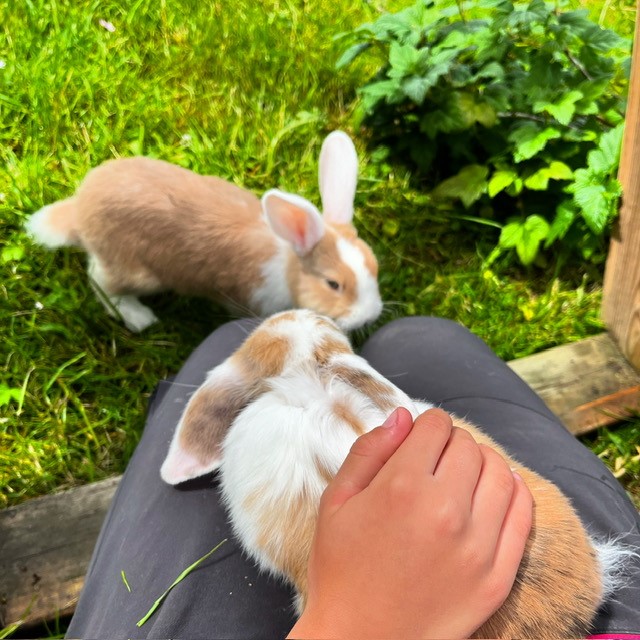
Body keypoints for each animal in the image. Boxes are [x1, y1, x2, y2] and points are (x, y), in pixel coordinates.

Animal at [25, 131, 382, 332]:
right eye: (333, 284)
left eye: (374, 267)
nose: (371, 316)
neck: (288, 265)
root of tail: (80, 211)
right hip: (133, 269)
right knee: (100, 281)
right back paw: (139, 318)